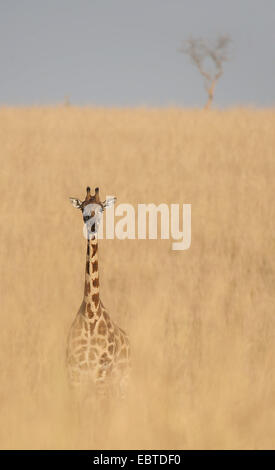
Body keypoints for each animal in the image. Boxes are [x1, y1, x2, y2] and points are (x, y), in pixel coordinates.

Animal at [67, 185, 132, 398]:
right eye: (83, 209)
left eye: (102, 209)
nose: (93, 226)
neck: (91, 313)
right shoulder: (75, 372)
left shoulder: (102, 373)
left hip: (122, 382)